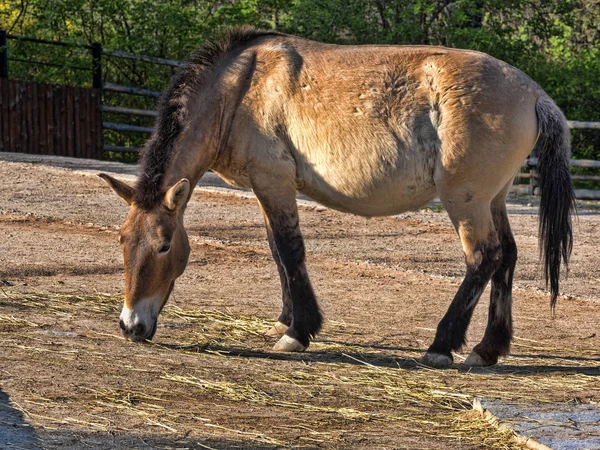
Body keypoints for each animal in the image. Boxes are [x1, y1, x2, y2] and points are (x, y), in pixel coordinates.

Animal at [99, 28, 576, 368]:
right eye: (122, 242)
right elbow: (276, 251)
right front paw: (287, 318)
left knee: (483, 257)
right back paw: (488, 348)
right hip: (494, 199)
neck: (240, 88)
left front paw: (298, 332)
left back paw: (442, 344)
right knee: (507, 256)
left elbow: (289, 250)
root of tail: (535, 94)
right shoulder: (265, 188)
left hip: (466, 202)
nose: (131, 326)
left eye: (164, 245)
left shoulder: (273, 182)